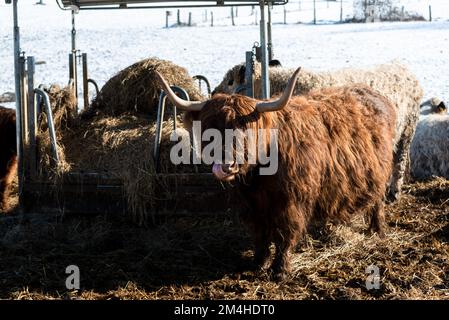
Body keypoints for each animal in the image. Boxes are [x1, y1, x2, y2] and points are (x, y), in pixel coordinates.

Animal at [156, 68, 394, 280]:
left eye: (244, 128)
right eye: (210, 127)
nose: (225, 165)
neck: (259, 179)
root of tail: (374, 93)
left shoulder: (290, 203)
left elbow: (284, 235)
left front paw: (280, 270)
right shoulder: (250, 205)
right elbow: (260, 234)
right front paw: (258, 263)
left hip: (381, 175)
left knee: (378, 202)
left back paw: (378, 230)